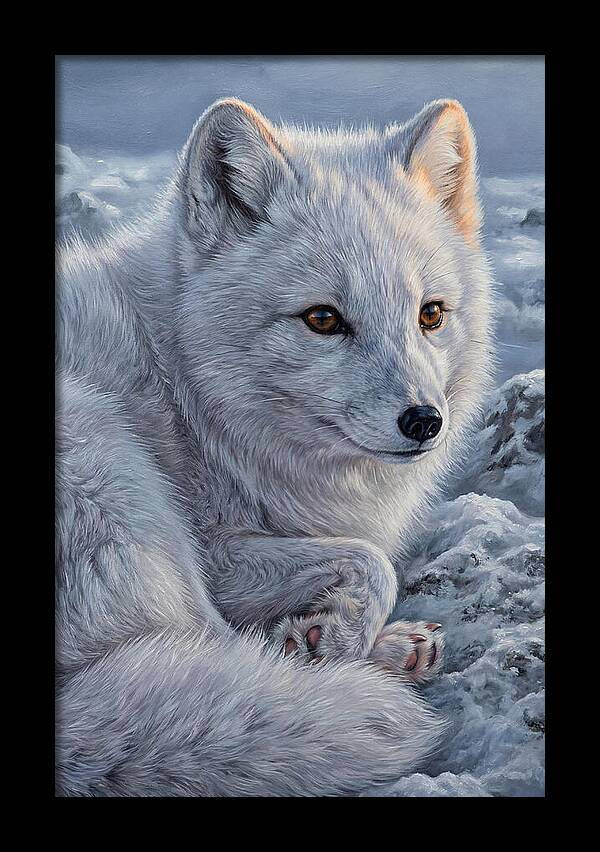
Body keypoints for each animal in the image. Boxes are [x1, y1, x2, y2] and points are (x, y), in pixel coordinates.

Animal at [55, 96, 494, 797]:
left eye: (431, 314)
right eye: (322, 319)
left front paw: (332, 634)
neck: (185, 388)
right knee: (212, 648)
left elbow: (364, 559)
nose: (424, 421)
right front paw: (335, 639)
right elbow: (374, 560)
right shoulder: (215, 550)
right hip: (113, 470)